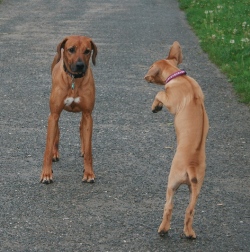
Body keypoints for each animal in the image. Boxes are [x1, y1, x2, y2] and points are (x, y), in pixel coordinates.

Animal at [40, 35, 97, 184]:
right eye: (71, 49)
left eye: (87, 51)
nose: (80, 65)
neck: (74, 81)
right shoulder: (53, 114)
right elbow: (47, 148)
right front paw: (46, 174)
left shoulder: (88, 114)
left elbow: (89, 149)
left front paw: (89, 173)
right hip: (54, 116)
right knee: (57, 130)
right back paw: (55, 153)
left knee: (81, 127)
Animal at [144, 40, 210, 238]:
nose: (145, 77)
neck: (179, 77)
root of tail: (191, 166)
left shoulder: (171, 101)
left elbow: (159, 94)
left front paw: (155, 106)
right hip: (196, 188)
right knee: (190, 210)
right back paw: (189, 233)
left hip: (172, 182)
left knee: (169, 206)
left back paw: (163, 229)